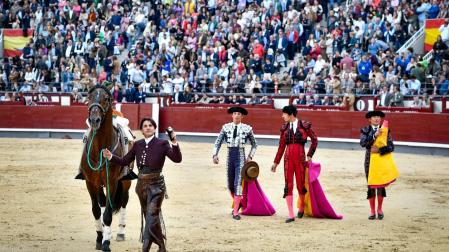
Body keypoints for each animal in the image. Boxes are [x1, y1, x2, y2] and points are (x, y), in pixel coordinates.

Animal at [79, 85, 132, 251]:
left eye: (107, 98)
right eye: (89, 97)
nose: (94, 120)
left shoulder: (112, 182)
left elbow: (108, 213)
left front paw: (106, 243)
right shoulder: (90, 182)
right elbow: (96, 211)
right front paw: (99, 238)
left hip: (126, 182)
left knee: (124, 202)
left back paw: (120, 233)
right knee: (102, 204)